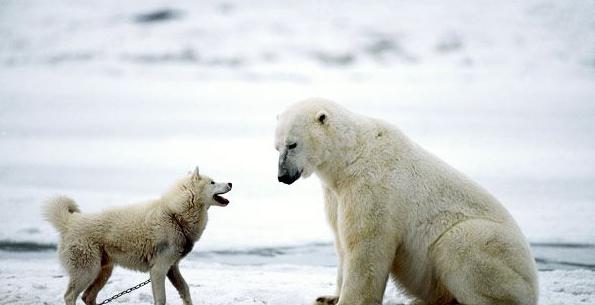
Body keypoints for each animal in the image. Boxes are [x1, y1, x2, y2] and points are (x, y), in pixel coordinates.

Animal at [274, 98, 540, 304]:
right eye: (277, 147)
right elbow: (341, 242)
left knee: (459, 244)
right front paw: (328, 297)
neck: (351, 157)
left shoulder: (373, 187)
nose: (282, 177)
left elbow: (366, 246)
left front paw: (348, 300)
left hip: (496, 254)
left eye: (292, 144)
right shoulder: (336, 195)